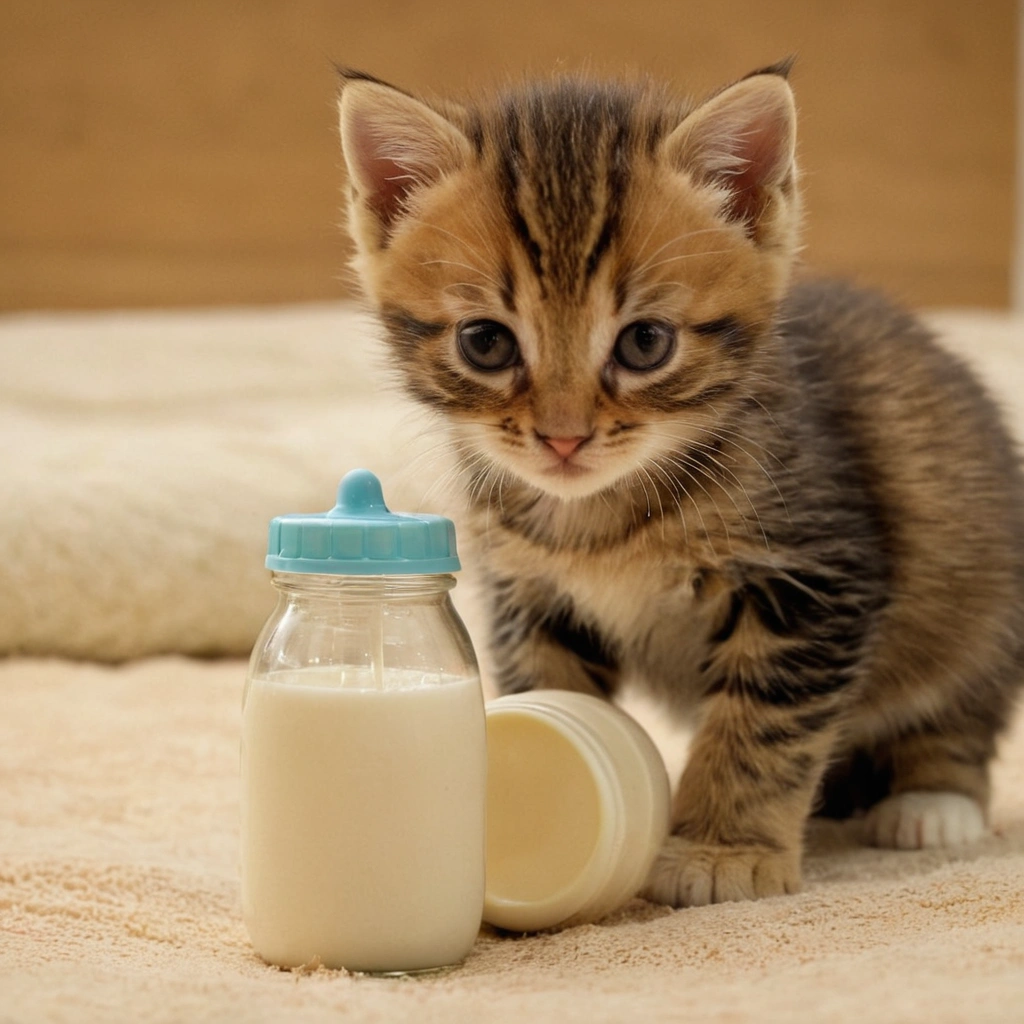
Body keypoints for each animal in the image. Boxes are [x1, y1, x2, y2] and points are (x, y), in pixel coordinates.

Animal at [335, 66, 1024, 905]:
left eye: (645, 343)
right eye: (485, 342)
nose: (563, 437)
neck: (601, 517)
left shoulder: (815, 573)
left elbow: (759, 723)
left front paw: (721, 850)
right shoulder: (531, 592)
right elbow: (553, 686)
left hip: (978, 583)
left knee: (961, 709)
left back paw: (931, 804)